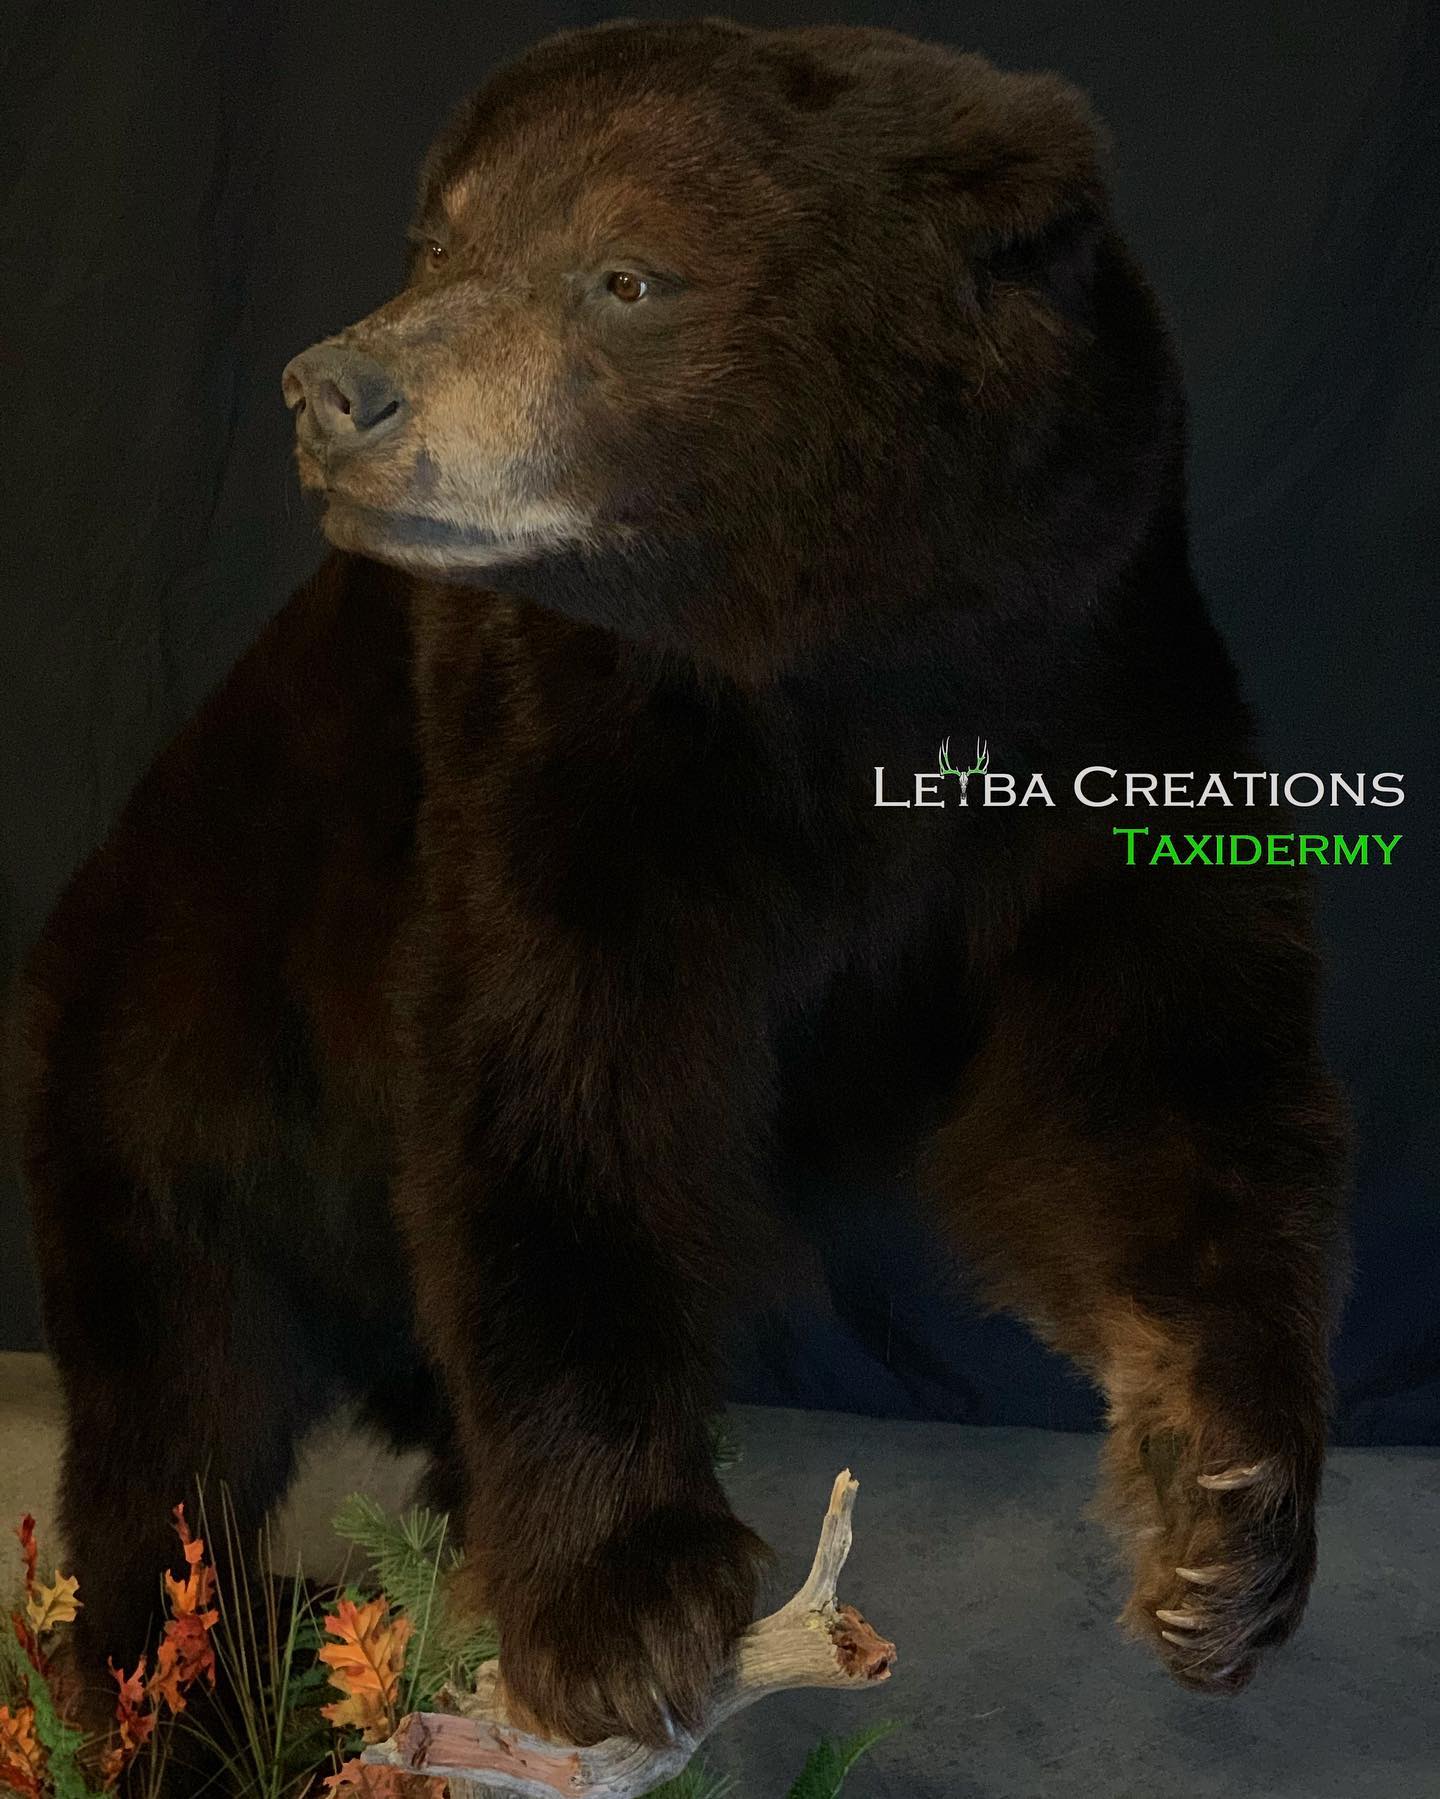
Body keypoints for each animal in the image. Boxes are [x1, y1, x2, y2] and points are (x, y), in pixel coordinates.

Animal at [20, 18, 1347, 1748]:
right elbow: (559, 1090)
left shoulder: (1096, 684)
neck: (830, 656)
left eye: (625, 274)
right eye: (439, 237)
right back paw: (173, 1680)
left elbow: (1150, 1072)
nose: (337, 390)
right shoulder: (581, 761)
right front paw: (624, 1595)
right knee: (178, 1385)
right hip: (182, 1034)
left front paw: (1225, 1522)